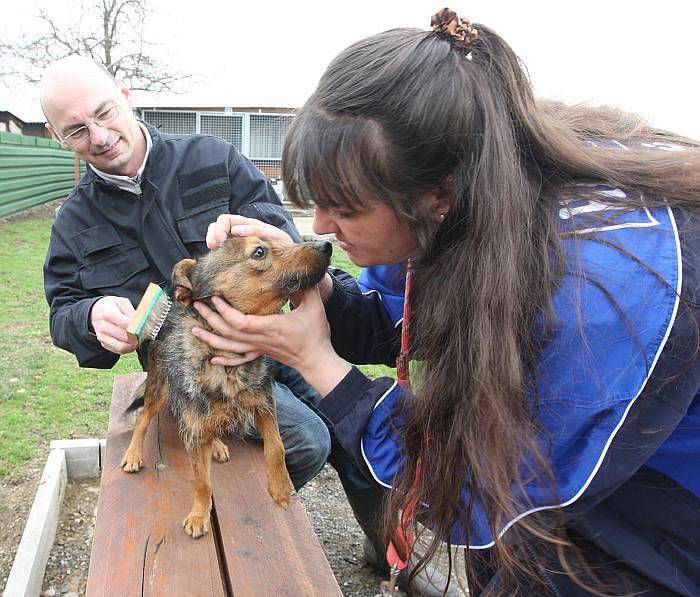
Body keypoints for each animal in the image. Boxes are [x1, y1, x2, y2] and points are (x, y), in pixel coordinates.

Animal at [119, 235, 330, 536]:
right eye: (259, 252)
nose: (327, 246)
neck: (229, 362)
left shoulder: (264, 403)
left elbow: (276, 447)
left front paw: (280, 488)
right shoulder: (194, 430)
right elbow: (202, 481)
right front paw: (199, 515)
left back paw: (217, 444)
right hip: (159, 388)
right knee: (144, 417)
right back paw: (134, 453)